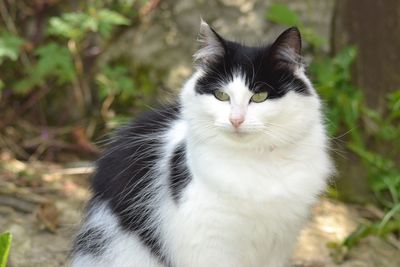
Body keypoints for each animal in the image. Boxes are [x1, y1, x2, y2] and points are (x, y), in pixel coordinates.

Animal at [70, 19, 332, 266]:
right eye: (222, 96)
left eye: (259, 97)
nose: (236, 120)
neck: (254, 161)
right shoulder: (206, 242)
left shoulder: (279, 241)